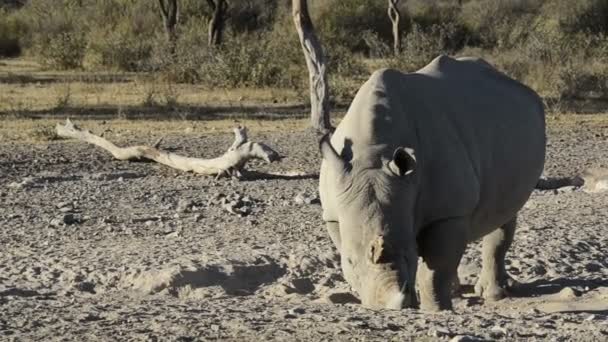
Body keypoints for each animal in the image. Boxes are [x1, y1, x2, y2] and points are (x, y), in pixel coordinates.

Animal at [318, 54, 548, 312]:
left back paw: (493, 295)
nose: (386, 307)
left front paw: (436, 310)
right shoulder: (334, 213)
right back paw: (458, 291)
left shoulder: (448, 212)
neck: (373, 153)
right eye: (349, 262)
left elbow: (435, 269)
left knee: (504, 213)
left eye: (409, 255)